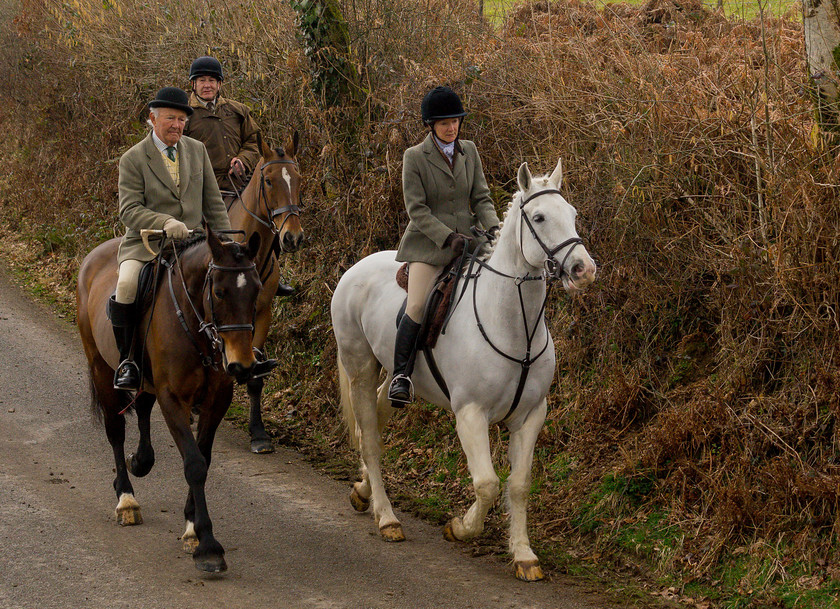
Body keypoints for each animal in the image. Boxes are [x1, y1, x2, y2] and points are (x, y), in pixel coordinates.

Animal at [79, 227, 264, 568]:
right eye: (220, 292)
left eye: (257, 290)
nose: (242, 365)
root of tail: (95, 254)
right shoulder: (173, 399)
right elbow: (194, 464)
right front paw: (208, 545)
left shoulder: (217, 400)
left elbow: (203, 459)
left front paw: (192, 528)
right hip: (100, 367)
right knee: (116, 431)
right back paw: (126, 499)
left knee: (141, 407)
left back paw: (141, 460)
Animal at [328, 158, 596, 580]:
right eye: (539, 217)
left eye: (571, 214)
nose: (585, 269)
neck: (513, 322)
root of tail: (356, 267)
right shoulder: (471, 414)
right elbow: (486, 483)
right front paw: (460, 528)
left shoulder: (531, 416)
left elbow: (519, 485)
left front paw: (524, 555)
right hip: (359, 367)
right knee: (369, 437)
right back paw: (386, 518)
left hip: (393, 375)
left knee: (381, 409)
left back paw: (363, 490)